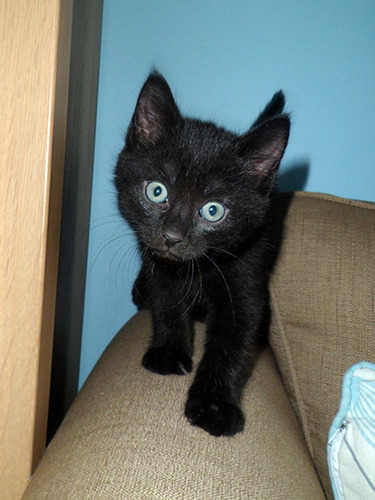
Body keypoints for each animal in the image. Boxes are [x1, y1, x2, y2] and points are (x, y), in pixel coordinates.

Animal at [115, 71, 290, 438]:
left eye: (213, 210)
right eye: (157, 191)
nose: (172, 237)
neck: (196, 270)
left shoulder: (247, 276)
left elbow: (233, 341)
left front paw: (215, 405)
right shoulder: (159, 267)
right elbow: (167, 304)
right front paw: (169, 353)